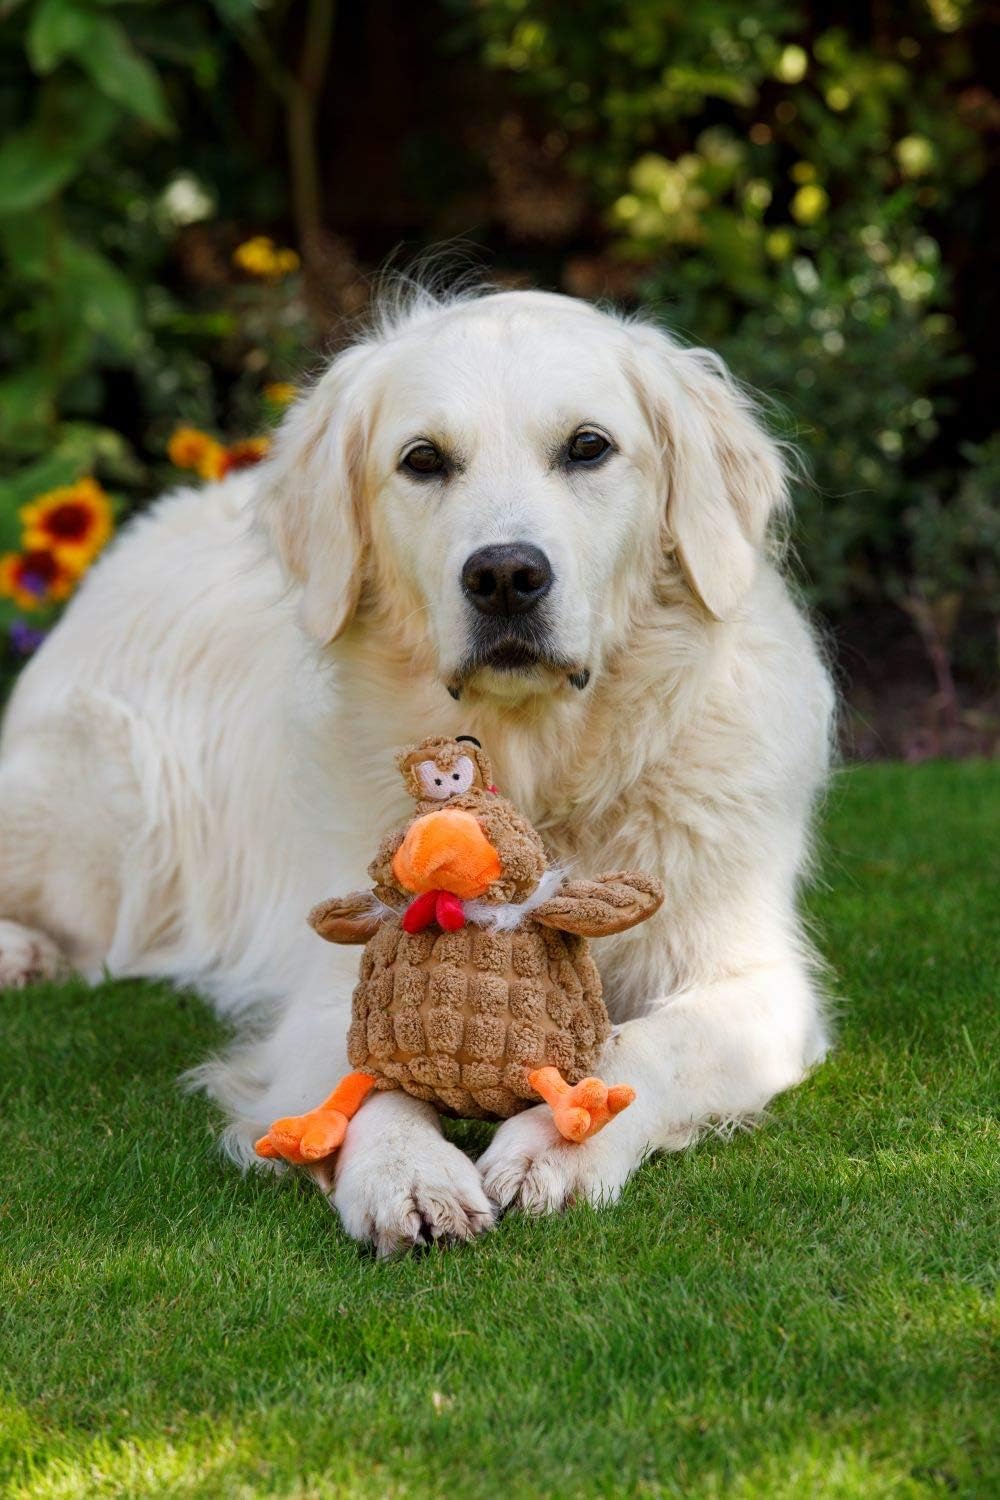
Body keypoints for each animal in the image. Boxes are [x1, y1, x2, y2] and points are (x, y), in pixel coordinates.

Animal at [0, 282, 833, 1254]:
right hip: (102, 808)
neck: (541, 766)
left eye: (589, 446)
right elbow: (363, 1078)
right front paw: (408, 1173)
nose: (506, 576)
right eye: (424, 460)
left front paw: (557, 1147)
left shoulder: (756, 982)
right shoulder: (330, 980)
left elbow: (646, 1049)